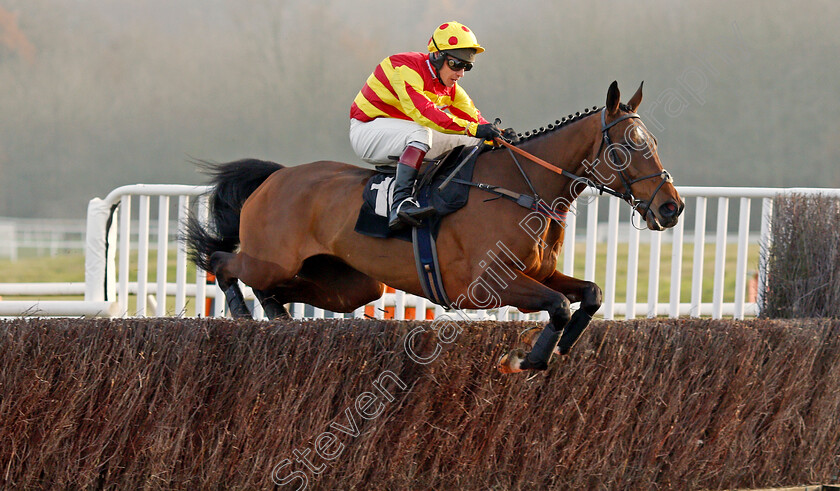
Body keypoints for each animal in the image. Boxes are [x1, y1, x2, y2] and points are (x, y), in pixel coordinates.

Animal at [185, 81, 684, 372]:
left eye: (655, 142)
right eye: (627, 147)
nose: (671, 208)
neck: (519, 186)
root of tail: (276, 176)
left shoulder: (537, 274)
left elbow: (589, 294)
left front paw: (562, 347)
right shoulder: (480, 287)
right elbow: (559, 305)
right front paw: (527, 359)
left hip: (348, 284)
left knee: (282, 289)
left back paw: (276, 317)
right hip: (270, 258)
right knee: (223, 260)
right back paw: (241, 311)